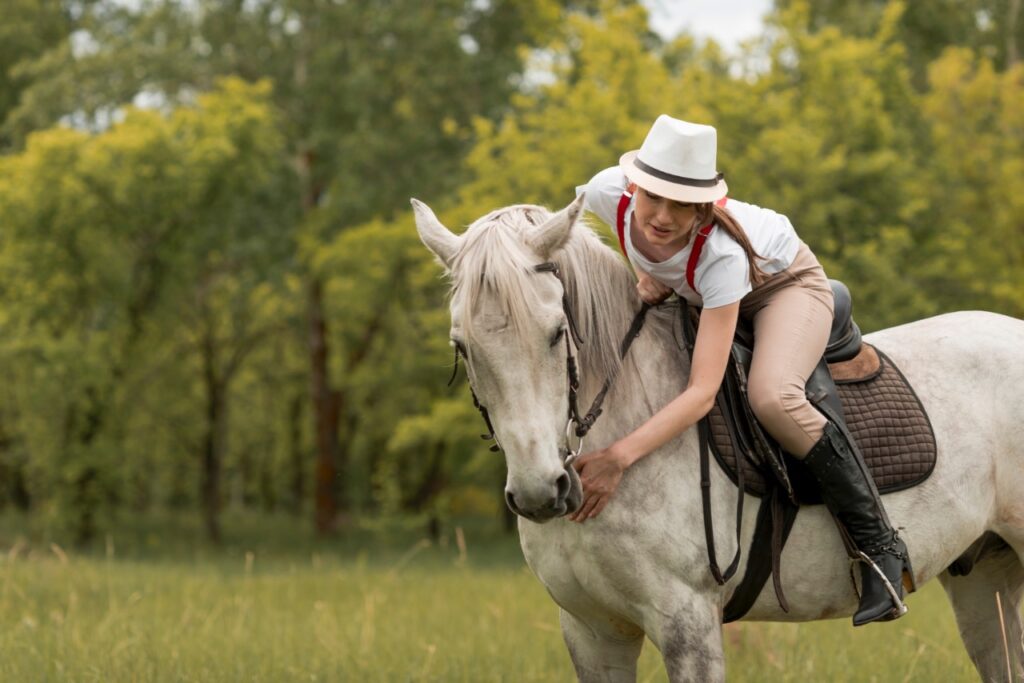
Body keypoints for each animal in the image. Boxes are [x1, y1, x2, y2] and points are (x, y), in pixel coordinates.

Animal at [411, 194, 1024, 682]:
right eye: (462, 345)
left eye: (558, 332)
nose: (542, 492)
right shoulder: (591, 631)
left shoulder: (687, 624)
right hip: (984, 577)